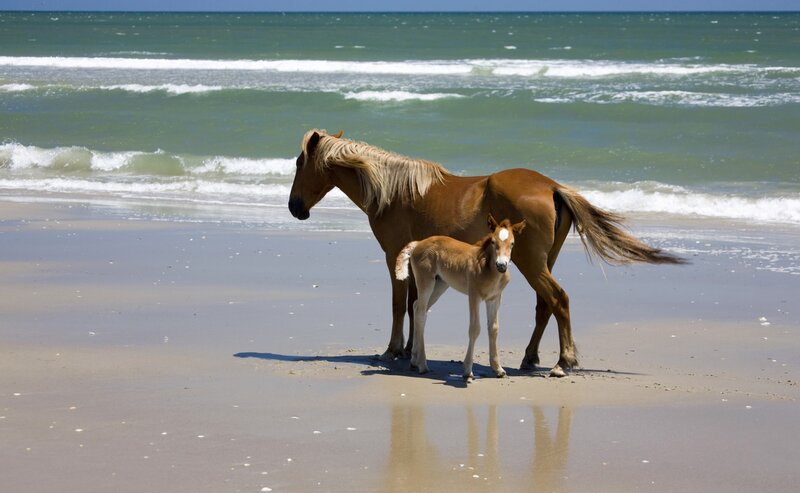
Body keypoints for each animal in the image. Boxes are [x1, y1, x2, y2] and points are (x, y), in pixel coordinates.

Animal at [395, 214, 526, 380]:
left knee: (418, 307)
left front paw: (498, 369)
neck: (488, 269)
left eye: (512, 243)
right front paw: (467, 370)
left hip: (440, 285)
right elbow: (475, 328)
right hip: (426, 283)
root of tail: (418, 243)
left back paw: (414, 359)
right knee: (419, 313)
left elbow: (494, 328)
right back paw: (423, 365)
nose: (501, 265)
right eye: (493, 242)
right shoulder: (474, 296)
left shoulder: (494, 298)